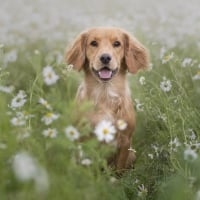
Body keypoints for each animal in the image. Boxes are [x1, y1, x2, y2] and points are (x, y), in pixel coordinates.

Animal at [65, 26, 148, 170]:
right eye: (93, 43)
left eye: (117, 43)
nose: (105, 57)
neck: (105, 94)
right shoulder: (83, 138)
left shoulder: (125, 140)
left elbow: (119, 168)